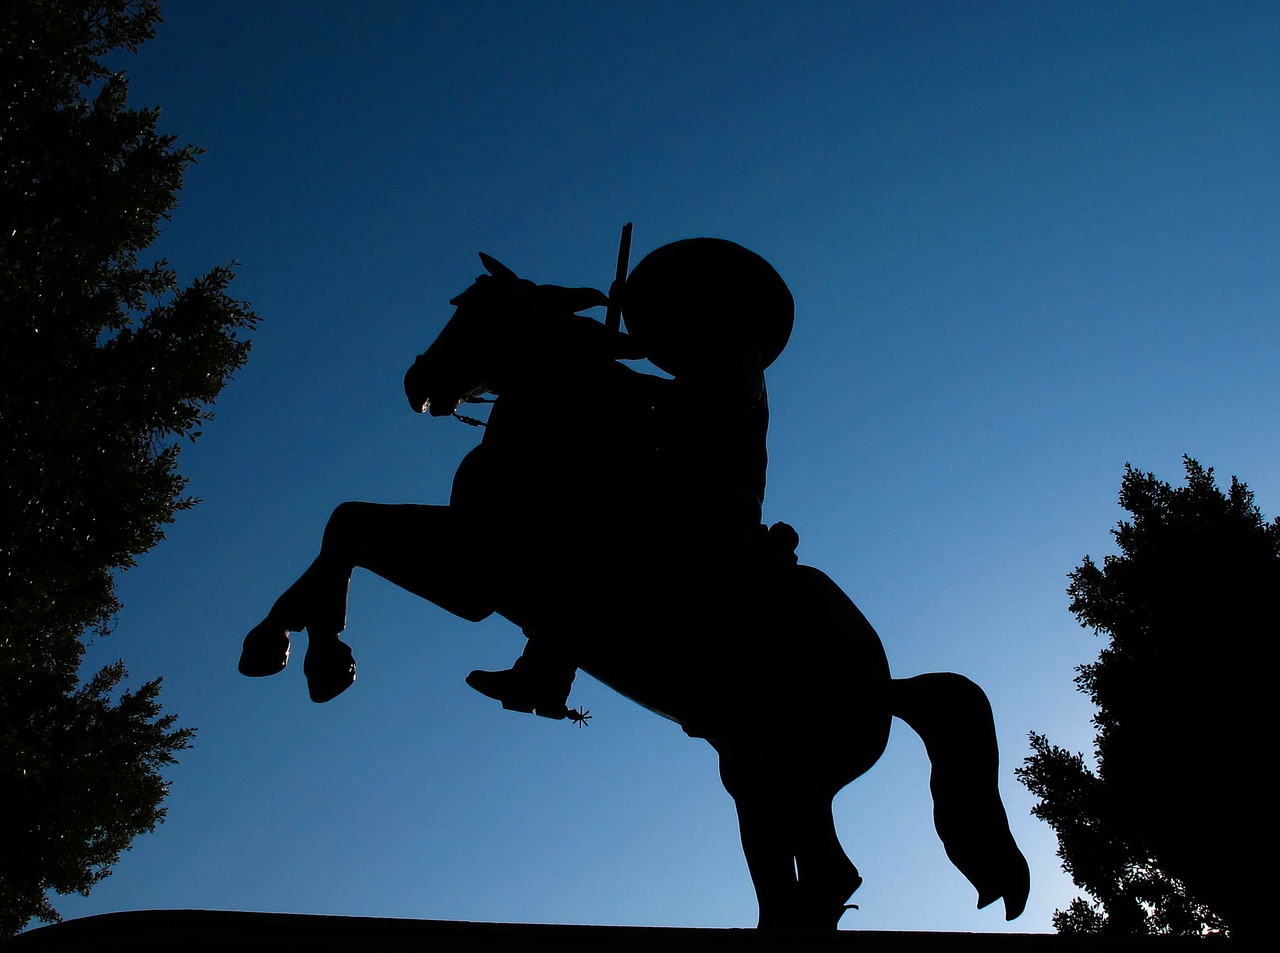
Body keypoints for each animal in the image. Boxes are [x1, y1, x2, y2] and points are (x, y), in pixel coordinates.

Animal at [240, 253, 1034, 931]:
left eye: (478, 309)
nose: (419, 381)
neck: (562, 434)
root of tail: (888, 686)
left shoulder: (479, 567)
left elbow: (351, 524)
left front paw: (307, 652)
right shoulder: (474, 575)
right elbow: (347, 525)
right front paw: (295, 644)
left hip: (797, 767)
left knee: (832, 875)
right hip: (750, 770)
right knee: (784, 873)